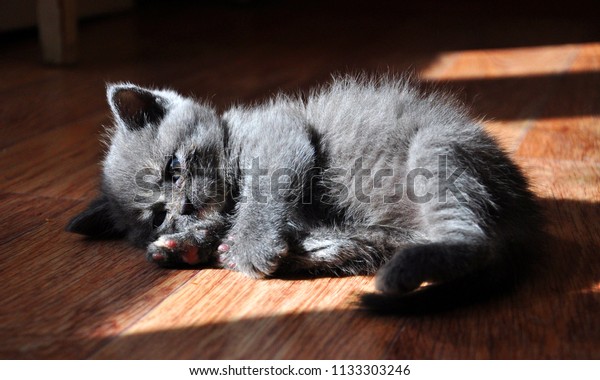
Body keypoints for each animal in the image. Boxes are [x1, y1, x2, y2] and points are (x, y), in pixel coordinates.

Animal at [68, 75, 540, 306]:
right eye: (157, 216)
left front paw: (250, 245)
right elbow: (220, 224)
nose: (183, 206)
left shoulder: (280, 136)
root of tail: (527, 213)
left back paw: (398, 273)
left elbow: (262, 195)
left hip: (435, 152)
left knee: (472, 240)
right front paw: (184, 242)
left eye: (174, 167)